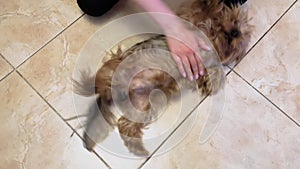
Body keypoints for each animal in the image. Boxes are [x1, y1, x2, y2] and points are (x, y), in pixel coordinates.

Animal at [72, 0, 253, 156]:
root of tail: (115, 92)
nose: (235, 32)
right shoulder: (190, 21)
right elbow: (199, 10)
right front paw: (210, 4)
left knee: (125, 124)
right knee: (99, 81)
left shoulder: (202, 69)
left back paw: (139, 149)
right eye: (234, 20)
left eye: (239, 38)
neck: (213, 39)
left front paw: (213, 80)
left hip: (146, 106)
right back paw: (89, 84)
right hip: (118, 63)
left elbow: (216, 73)